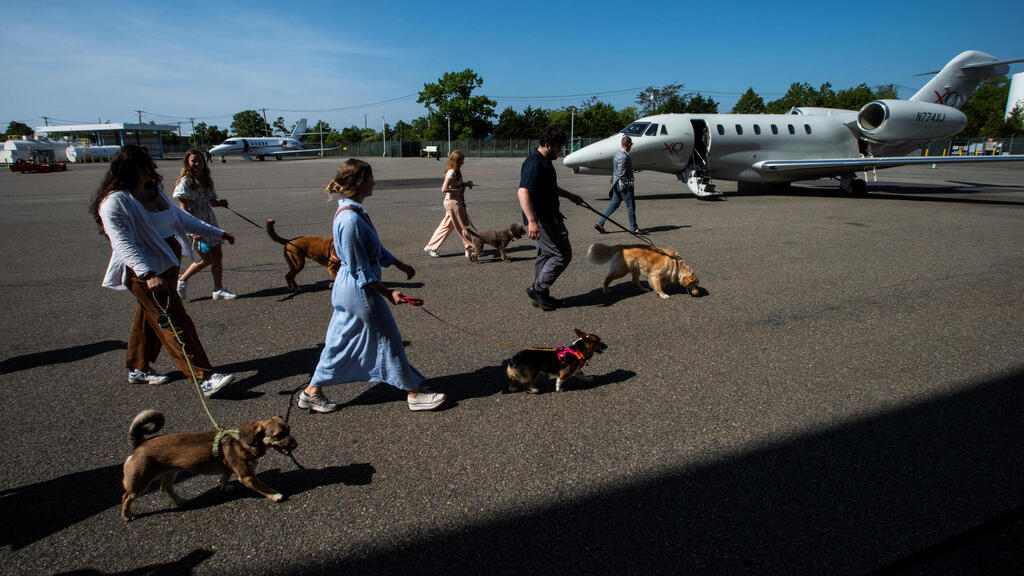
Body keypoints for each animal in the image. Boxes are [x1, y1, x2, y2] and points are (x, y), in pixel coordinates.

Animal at [120, 407, 296, 520]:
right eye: (278, 436)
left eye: (289, 429)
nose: (295, 444)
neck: (244, 442)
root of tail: (140, 443)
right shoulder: (247, 476)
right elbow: (263, 486)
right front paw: (274, 495)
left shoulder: (228, 468)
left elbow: (225, 477)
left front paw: (225, 488)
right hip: (140, 480)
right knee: (126, 497)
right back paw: (127, 515)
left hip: (170, 472)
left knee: (166, 488)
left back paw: (181, 501)